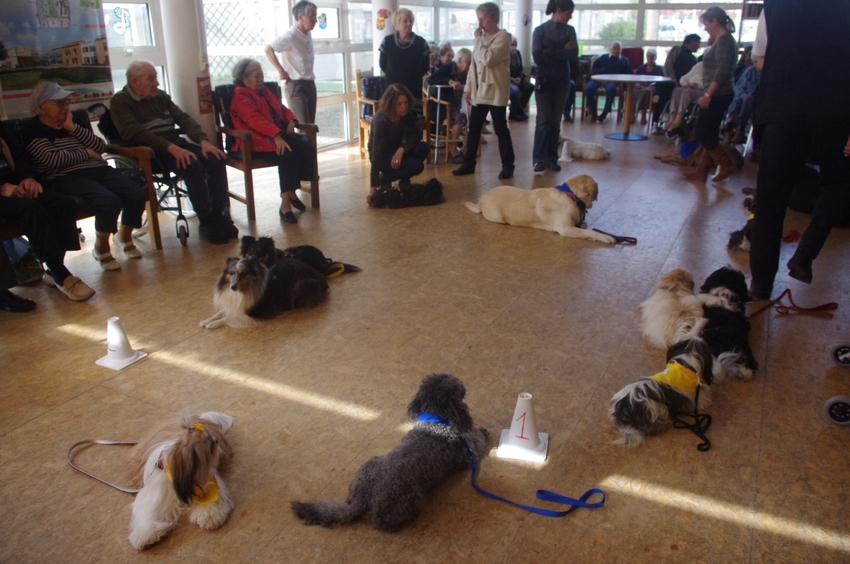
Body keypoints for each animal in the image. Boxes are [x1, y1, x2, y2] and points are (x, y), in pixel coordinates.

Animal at [126, 412, 234, 548]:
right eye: (210, 446)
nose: (216, 441)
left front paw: (209, 516)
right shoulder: (154, 494)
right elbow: (147, 512)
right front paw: (146, 534)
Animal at [200, 253, 330, 328]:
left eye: (243, 273)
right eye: (231, 273)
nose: (233, 287)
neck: (242, 291)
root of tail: (321, 277)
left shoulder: (255, 314)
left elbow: (228, 318)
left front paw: (212, 324)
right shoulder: (234, 306)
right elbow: (220, 313)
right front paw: (206, 321)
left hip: (301, 285)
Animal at [294, 372, 486, 532]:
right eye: (456, 386)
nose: (462, 383)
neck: (436, 421)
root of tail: (360, 501)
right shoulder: (463, 456)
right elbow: (476, 440)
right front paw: (484, 432)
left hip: (367, 466)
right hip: (408, 499)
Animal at [464, 174, 616, 245]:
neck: (569, 194)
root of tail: (481, 200)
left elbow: (584, 225)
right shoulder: (566, 229)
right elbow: (590, 231)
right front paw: (605, 237)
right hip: (498, 218)